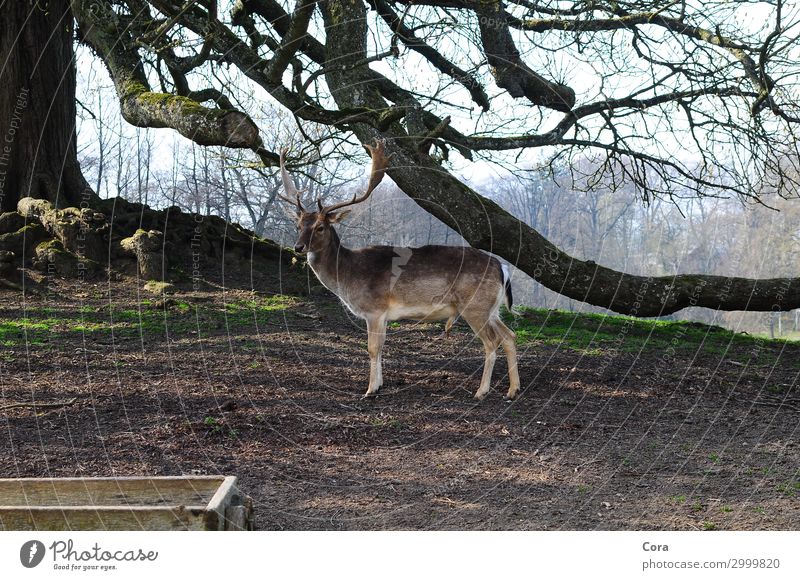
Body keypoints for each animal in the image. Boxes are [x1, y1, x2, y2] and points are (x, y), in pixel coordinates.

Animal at [278, 140, 520, 402]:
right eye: (298, 225)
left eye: (320, 227)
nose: (298, 247)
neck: (347, 275)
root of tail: (502, 267)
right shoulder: (383, 315)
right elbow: (381, 347)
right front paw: (380, 385)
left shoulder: (374, 309)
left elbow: (372, 349)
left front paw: (370, 390)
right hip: (491, 308)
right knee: (509, 336)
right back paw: (512, 390)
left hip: (474, 306)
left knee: (492, 341)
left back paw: (481, 391)